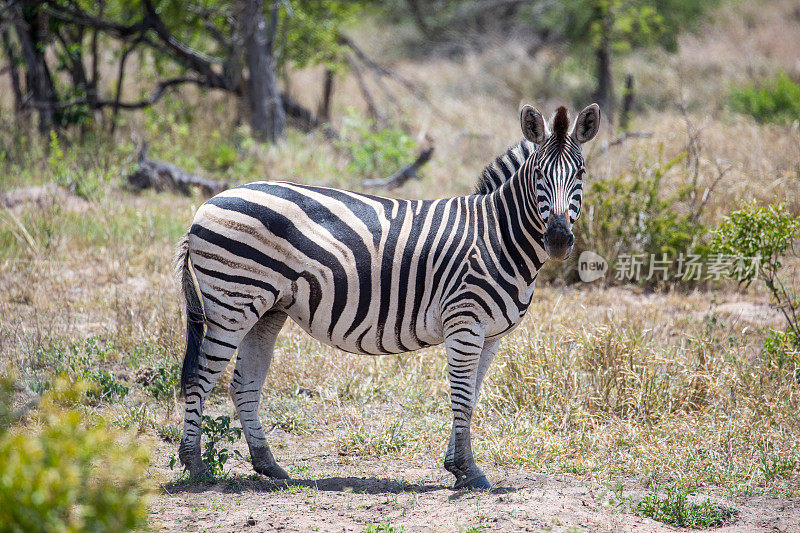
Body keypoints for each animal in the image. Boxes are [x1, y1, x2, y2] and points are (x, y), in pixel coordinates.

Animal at [177, 102, 600, 488]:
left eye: (580, 173)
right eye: (539, 174)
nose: (558, 239)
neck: (498, 236)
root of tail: (206, 205)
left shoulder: (491, 334)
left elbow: (473, 395)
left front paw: (456, 466)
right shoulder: (464, 322)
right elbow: (462, 396)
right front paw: (469, 471)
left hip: (266, 311)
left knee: (243, 385)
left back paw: (270, 467)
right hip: (231, 304)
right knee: (200, 378)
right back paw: (196, 466)